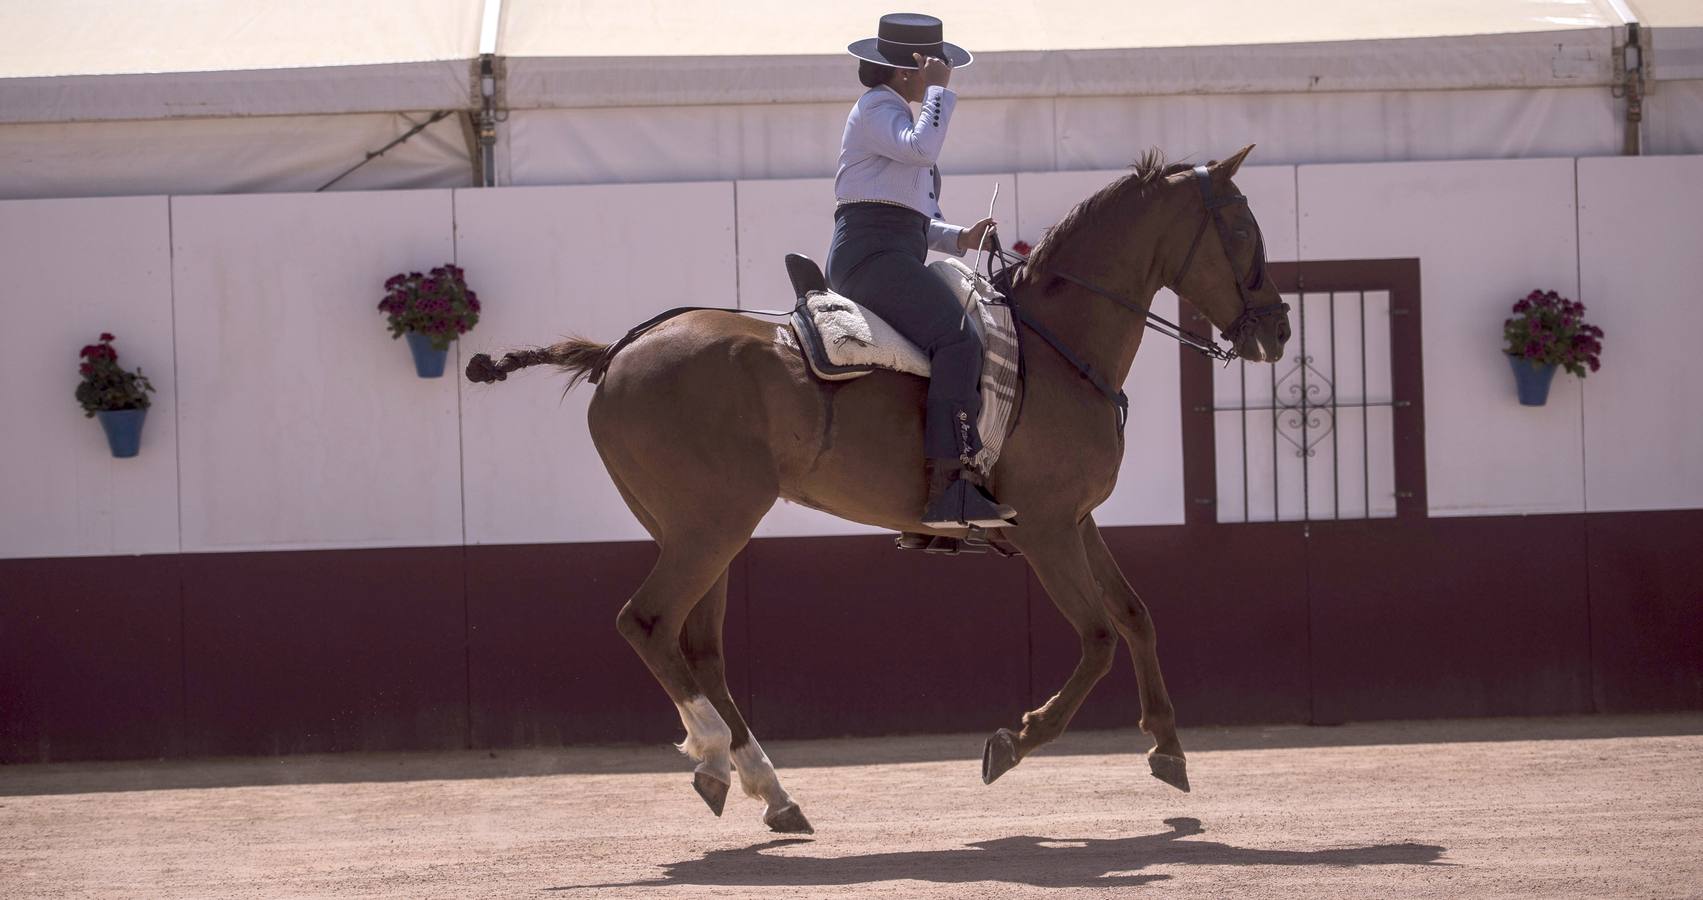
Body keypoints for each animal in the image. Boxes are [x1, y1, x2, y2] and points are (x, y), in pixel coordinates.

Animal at [466, 144, 1287, 831]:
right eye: (1243, 227)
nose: (1276, 329)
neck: (1057, 347)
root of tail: (618, 353)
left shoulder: (1077, 521)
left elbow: (1135, 616)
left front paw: (1168, 749)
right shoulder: (1048, 529)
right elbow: (1097, 640)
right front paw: (1014, 741)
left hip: (700, 534)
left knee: (698, 648)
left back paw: (766, 788)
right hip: (709, 529)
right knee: (645, 623)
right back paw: (713, 752)